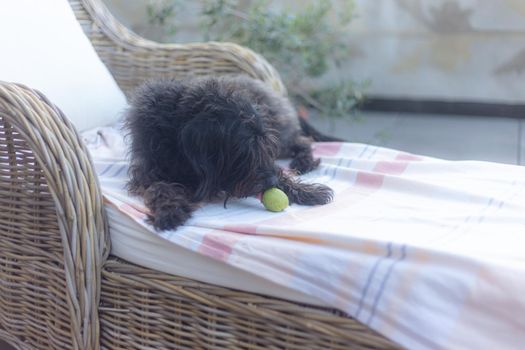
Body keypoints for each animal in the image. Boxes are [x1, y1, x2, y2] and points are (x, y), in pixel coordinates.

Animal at [125, 76, 342, 230]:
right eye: (244, 150)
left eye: (264, 146)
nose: (271, 182)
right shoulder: (147, 172)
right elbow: (159, 187)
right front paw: (169, 209)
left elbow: (282, 174)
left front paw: (307, 191)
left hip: (280, 133)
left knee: (303, 141)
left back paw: (304, 162)